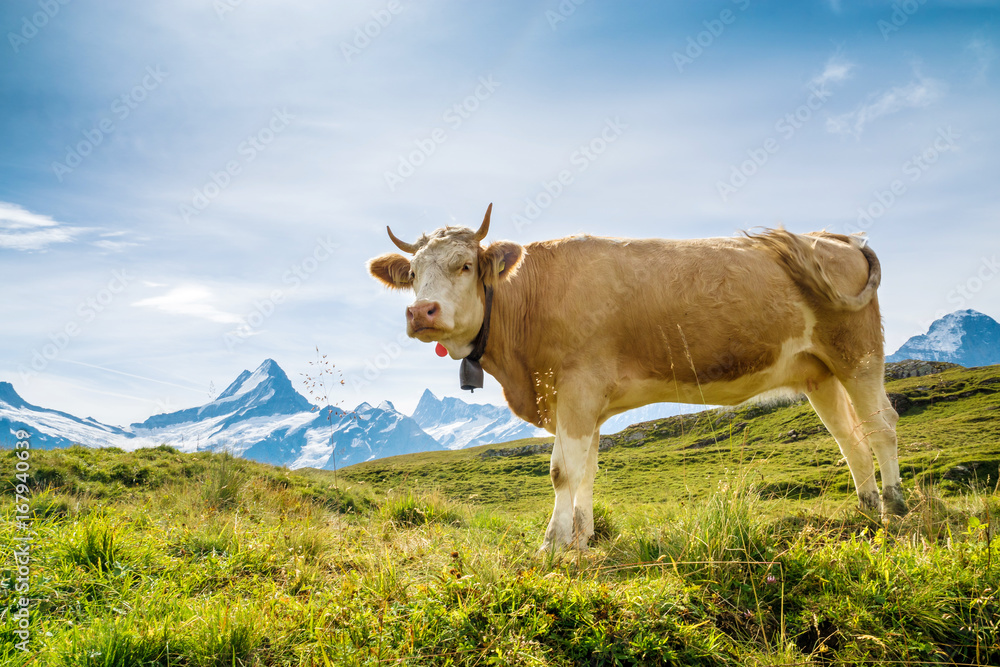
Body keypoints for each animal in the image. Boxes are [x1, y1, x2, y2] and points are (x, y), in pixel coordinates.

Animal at [368, 204, 907, 551]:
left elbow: (561, 470)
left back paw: (894, 510)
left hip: (858, 353)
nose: (421, 312)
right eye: (412, 274)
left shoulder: (577, 389)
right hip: (819, 372)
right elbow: (586, 469)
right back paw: (864, 509)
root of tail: (836, 237)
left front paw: (552, 544)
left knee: (880, 426)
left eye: (464, 265)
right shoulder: (586, 403)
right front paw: (582, 538)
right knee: (848, 437)